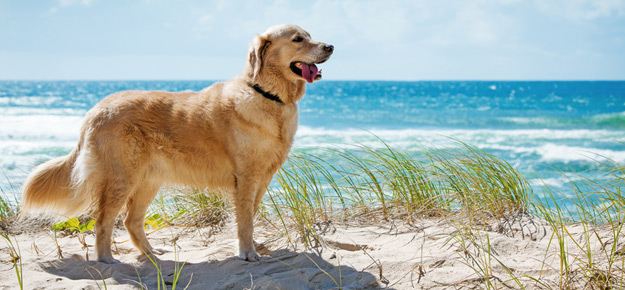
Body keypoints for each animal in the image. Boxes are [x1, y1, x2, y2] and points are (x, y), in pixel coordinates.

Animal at [18, 24, 332, 262]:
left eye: (310, 34)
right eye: (297, 39)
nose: (330, 46)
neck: (268, 95)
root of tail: (97, 108)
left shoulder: (262, 178)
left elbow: (250, 217)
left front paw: (252, 247)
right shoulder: (246, 177)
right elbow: (245, 220)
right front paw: (247, 253)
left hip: (148, 180)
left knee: (131, 221)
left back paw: (151, 254)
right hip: (122, 177)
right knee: (103, 221)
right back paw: (107, 260)